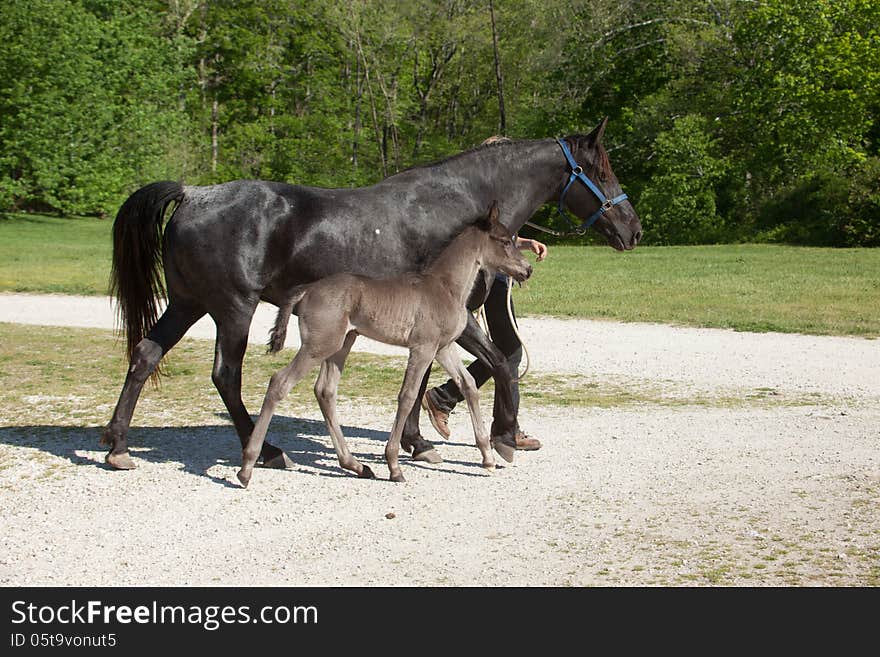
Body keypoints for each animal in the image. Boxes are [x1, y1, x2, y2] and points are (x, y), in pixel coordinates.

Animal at [101, 115, 640, 468]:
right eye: (600, 171)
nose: (632, 230)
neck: (456, 208)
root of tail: (195, 194)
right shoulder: (459, 318)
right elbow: (501, 365)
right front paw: (502, 437)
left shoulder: (437, 329)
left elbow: (426, 383)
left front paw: (418, 442)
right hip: (234, 309)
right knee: (226, 376)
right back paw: (266, 451)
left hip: (187, 304)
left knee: (145, 355)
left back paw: (119, 446)